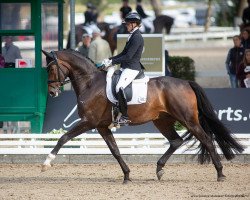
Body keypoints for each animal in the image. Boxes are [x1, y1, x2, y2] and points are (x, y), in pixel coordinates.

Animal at [42, 49, 243, 184]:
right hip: (162, 121)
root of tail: (186, 82)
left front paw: (47, 162)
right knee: (176, 141)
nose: (51, 92)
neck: (90, 83)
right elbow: (115, 151)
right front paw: (127, 176)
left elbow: (63, 138)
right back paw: (159, 169)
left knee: (207, 140)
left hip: (188, 120)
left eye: (51, 69)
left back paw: (220, 174)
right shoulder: (101, 126)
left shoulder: (88, 122)